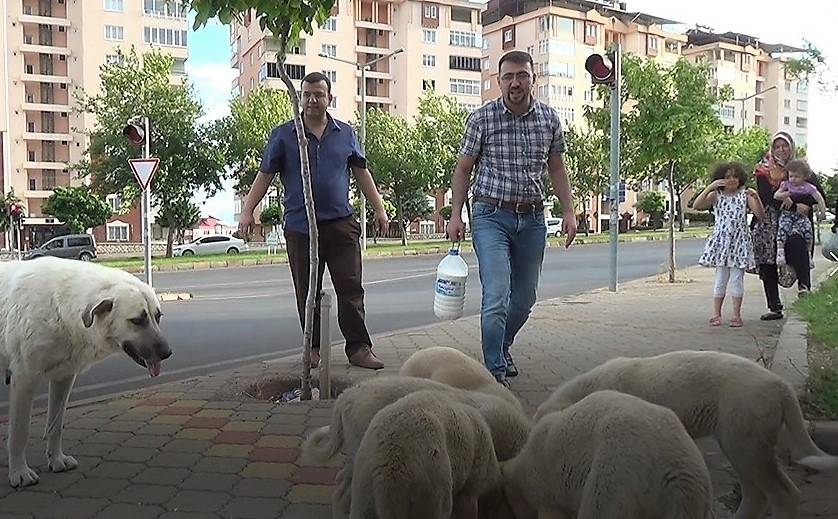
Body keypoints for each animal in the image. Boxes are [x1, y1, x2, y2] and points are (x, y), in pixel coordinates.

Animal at [0, 258, 172, 490]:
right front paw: (19, 472)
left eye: (157, 317)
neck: (59, 308)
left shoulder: (63, 378)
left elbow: (55, 425)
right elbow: (19, 432)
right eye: (137, 320)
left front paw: (56, 460)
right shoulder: (24, 379)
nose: (167, 353)